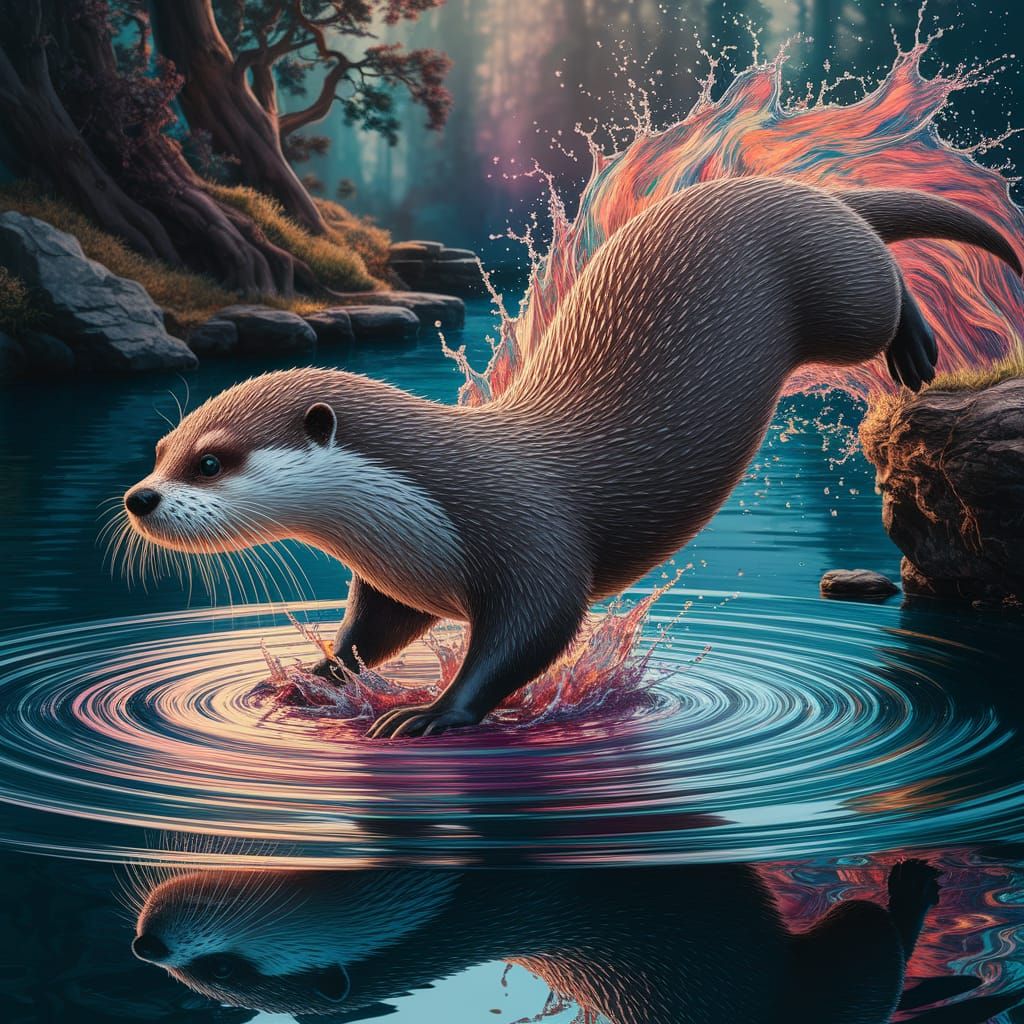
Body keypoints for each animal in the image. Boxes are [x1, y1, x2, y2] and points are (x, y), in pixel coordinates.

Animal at [122, 176, 1022, 738]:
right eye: (161, 448)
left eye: (212, 462)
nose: (139, 498)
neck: (418, 510)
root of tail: (803, 188)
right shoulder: (401, 576)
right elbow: (373, 633)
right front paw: (309, 677)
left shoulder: (526, 535)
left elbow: (536, 632)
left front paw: (432, 713)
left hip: (838, 289)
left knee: (881, 284)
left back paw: (917, 347)